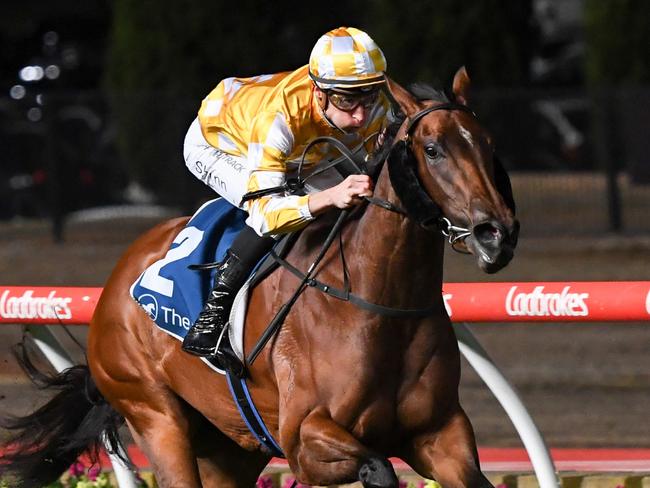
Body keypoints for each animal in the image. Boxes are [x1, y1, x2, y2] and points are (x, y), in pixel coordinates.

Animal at [0, 69, 516, 488]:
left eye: (490, 146)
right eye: (432, 150)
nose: (497, 234)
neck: (378, 303)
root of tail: (112, 287)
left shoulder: (441, 433)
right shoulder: (303, 439)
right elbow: (380, 467)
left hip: (230, 445)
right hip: (154, 415)